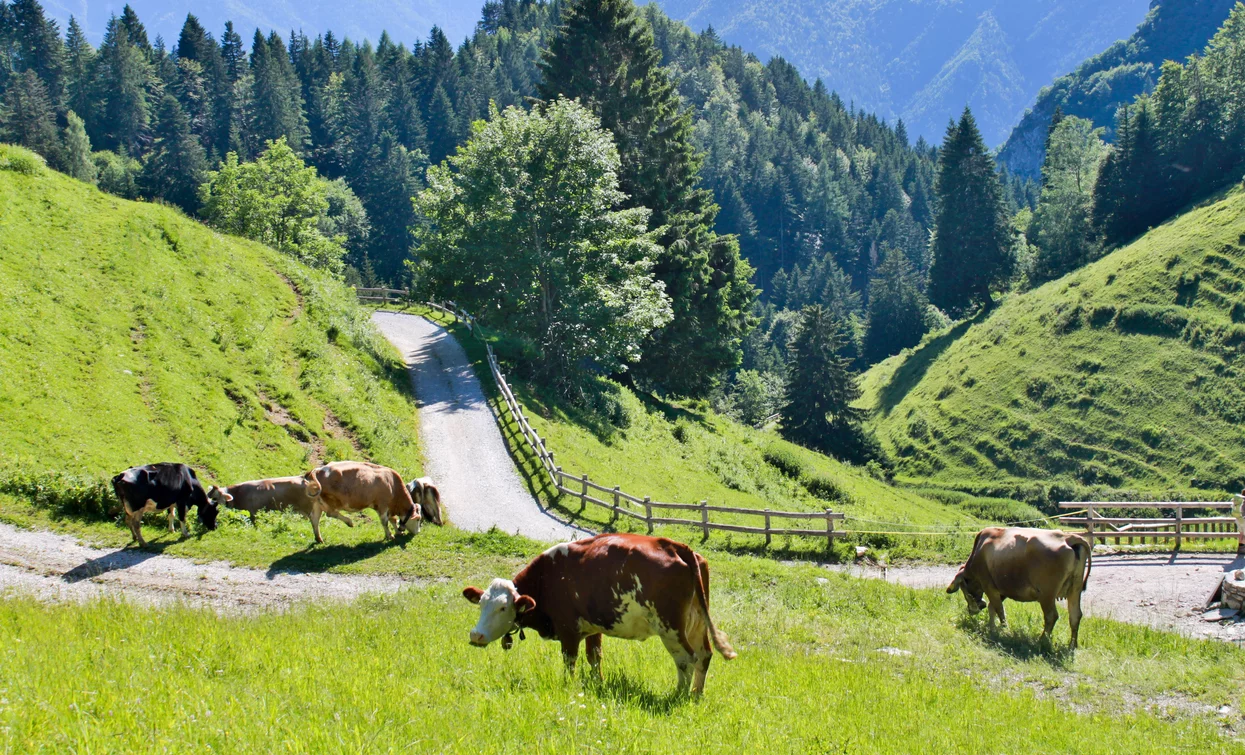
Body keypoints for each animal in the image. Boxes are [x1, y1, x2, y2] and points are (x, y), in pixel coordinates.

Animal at [463, 533, 732, 697]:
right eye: (482, 604)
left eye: (502, 607)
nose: (476, 635)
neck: (548, 577)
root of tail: (675, 546)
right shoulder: (593, 628)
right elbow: (594, 657)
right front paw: (597, 683)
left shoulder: (568, 629)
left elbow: (570, 660)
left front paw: (568, 686)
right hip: (696, 623)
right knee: (704, 655)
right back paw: (696, 694)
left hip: (671, 628)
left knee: (686, 658)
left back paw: (678, 695)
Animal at [951, 525, 1090, 652]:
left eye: (963, 590)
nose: (973, 610)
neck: (979, 551)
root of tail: (1068, 538)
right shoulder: (1002, 588)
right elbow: (992, 608)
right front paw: (992, 627)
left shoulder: (989, 585)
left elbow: (999, 609)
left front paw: (1003, 629)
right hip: (1075, 589)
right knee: (1075, 616)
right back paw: (1072, 646)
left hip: (1047, 594)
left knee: (1051, 616)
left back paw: (1042, 641)